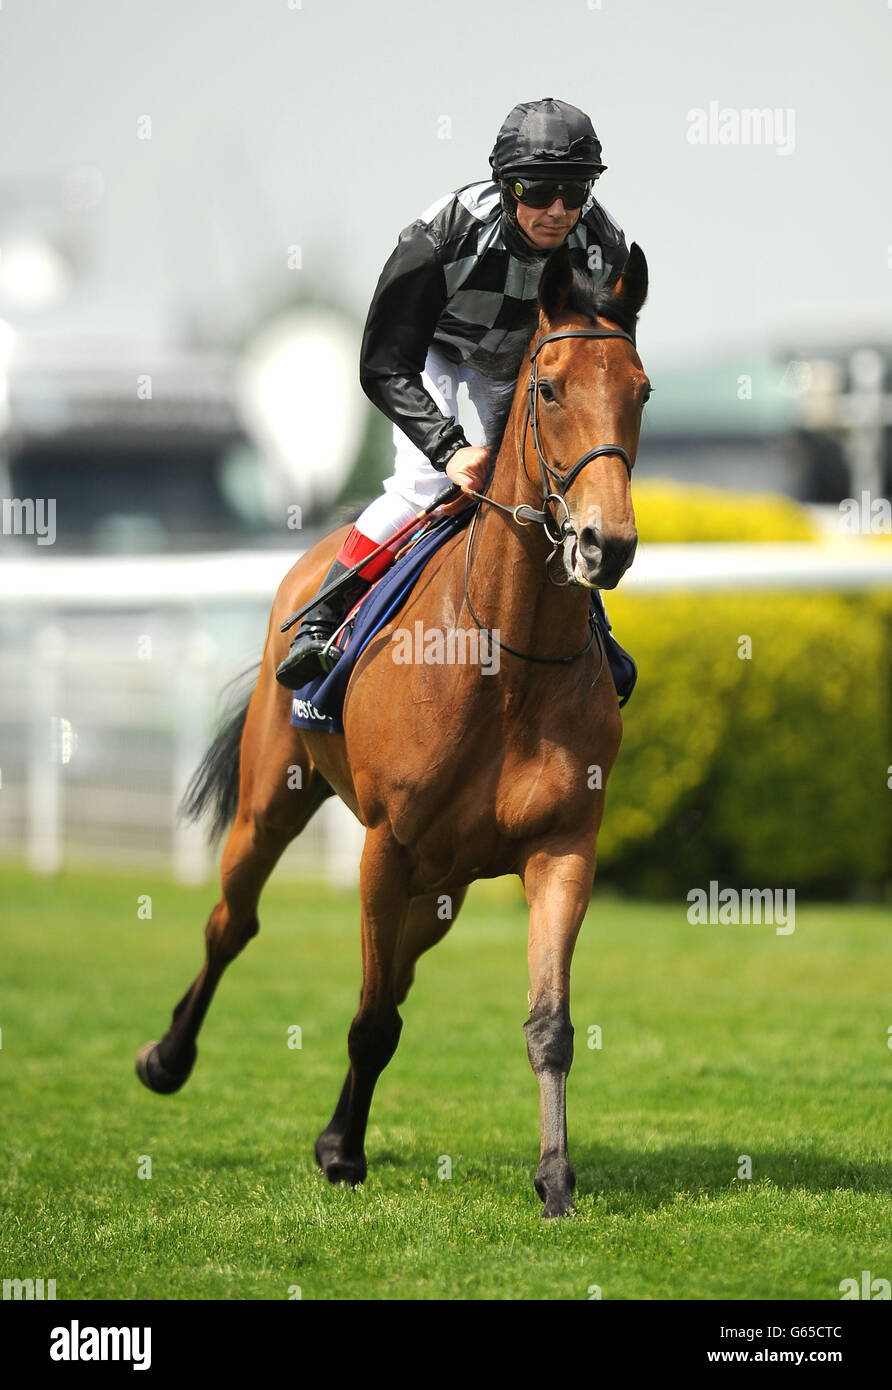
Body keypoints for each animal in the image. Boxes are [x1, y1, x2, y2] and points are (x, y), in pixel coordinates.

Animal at [135, 244, 644, 1223]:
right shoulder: (386, 845)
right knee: (233, 923)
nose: (609, 544)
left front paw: (556, 1178)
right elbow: (370, 1018)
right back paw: (168, 1059)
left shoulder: (563, 846)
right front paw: (343, 1156)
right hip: (275, 804)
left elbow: (547, 1025)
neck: (507, 660)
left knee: (397, 975)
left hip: (443, 885)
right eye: (549, 388)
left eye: (640, 389)